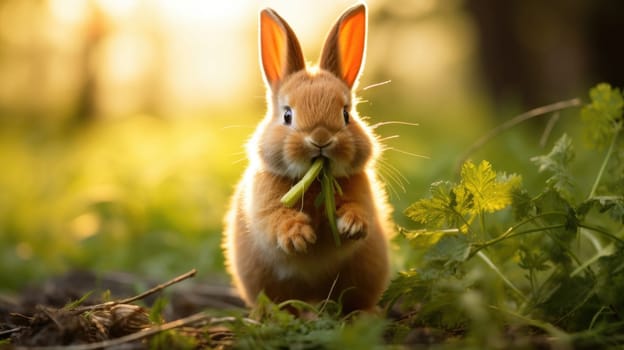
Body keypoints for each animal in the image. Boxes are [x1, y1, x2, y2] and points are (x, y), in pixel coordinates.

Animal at [222, 2, 392, 314]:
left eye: (346, 114)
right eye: (287, 115)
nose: (321, 139)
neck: (314, 181)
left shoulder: (361, 194)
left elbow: (358, 209)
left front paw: (352, 225)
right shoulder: (265, 206)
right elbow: (275, 219)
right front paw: (298, 236)